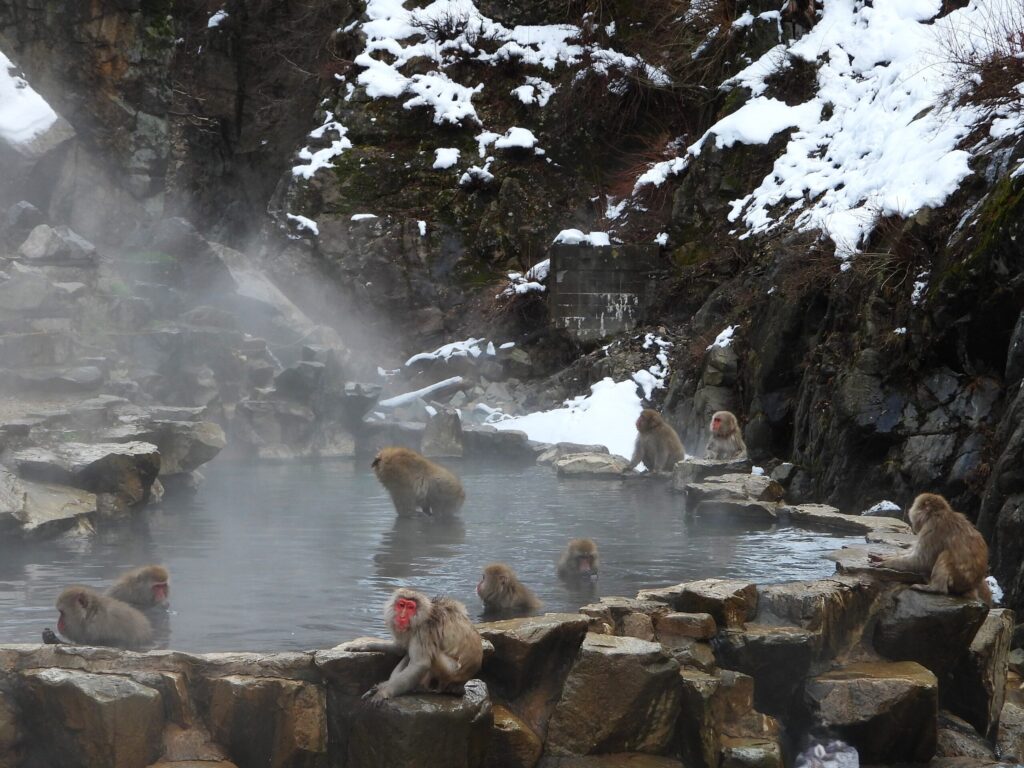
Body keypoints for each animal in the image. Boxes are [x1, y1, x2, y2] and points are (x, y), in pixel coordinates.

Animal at [340, 588, 483, 703]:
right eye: (401, 605)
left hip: (451, 672)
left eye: (410, 607)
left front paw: (385, 691)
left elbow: (420, 664)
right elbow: (400, 648)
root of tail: (462, 684)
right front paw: (364, 645)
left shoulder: (423, 630)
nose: (402, 616)